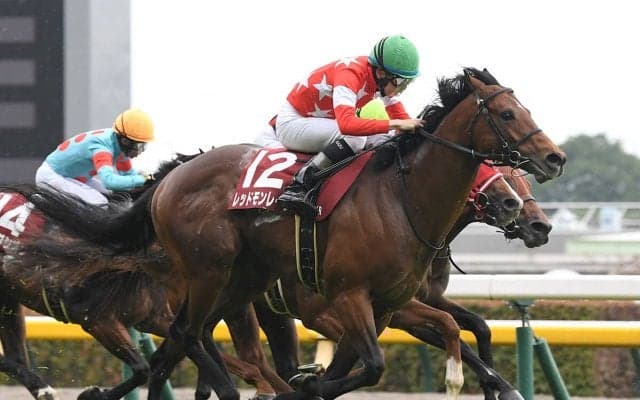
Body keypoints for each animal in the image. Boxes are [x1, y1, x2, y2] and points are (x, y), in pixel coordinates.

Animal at [5, 67, 566, 400]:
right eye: (508, 113)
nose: (554, 159)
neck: (400, 200)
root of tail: (169, 181)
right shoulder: (346, 298)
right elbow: (377, 361)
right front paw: (309, 384)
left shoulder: (390, 303)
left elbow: (458, 329)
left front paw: (495, 384)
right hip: (206, 275)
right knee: (194, 339)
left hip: (242, 284)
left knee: (188, 339)